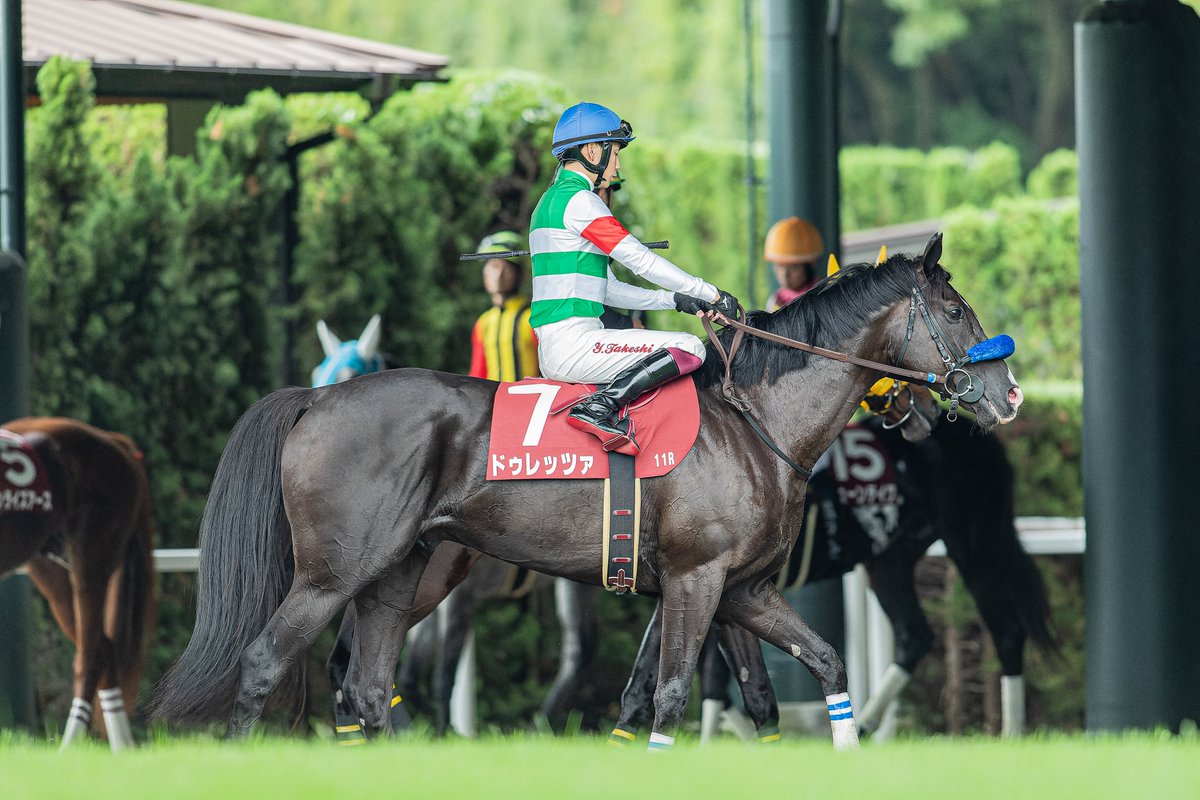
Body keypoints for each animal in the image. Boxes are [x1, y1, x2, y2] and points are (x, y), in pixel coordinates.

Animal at [0, 417, 156, 750]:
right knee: (104, 648)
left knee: (90, 655)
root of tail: (115, 441)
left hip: (91, 554)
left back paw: (68, 750)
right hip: (50, 566)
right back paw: (122, 749)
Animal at [610, 391, 1054, 743]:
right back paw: (869, 724)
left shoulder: (712, 581)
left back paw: (1009, 735)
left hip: (976, 545)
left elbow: (713, 680)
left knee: (1008, 632)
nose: (927, 409)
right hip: (890, 560)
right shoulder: (695, 583)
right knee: (915, 635)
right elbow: (685, 679)